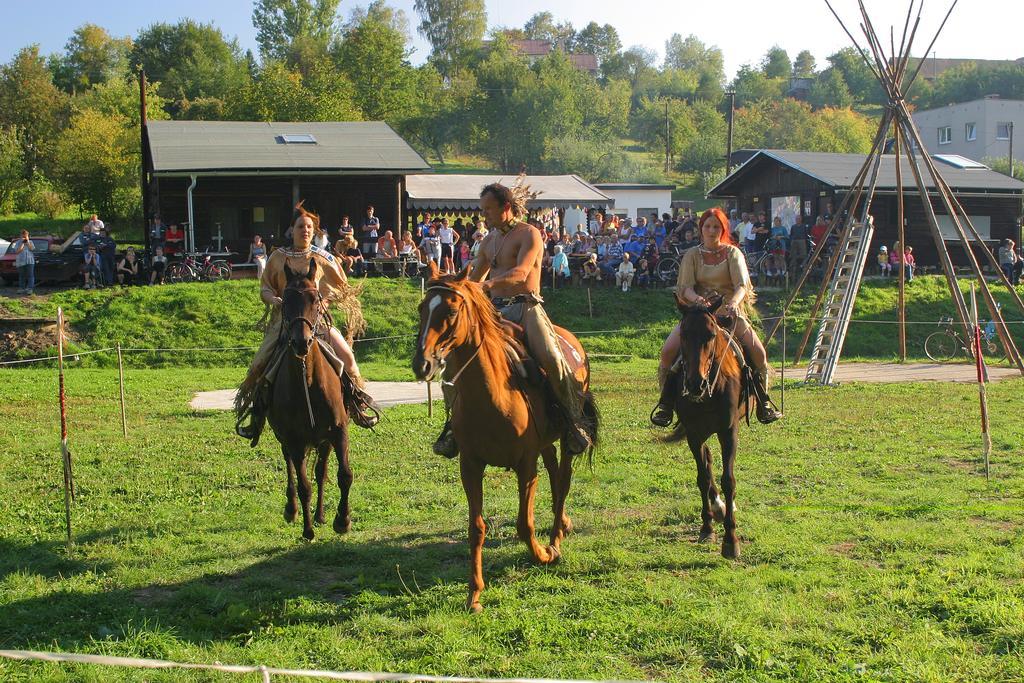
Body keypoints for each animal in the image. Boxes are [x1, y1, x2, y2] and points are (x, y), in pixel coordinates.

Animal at [266, 259, 354, 540]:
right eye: (285, 301)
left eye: (315, 299)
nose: (301, 342)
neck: (309, 380)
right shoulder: (294, 440)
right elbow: (304, 484)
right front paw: (307, 531)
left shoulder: (338, 431)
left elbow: (343, 475)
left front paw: (342, 520)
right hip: (286, 440)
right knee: (291, 469)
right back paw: (293, 510)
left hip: (323, 441)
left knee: (321, 470)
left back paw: (321, 514)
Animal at [409, 264, 598, 614]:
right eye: (422, 309)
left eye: (451, 311)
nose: (423, 364)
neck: (492, 396)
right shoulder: (470, 465)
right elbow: (476, 527)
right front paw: (474, 594)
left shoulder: (526, 465)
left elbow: (525, 523)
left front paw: (545, 554)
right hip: (545, 445)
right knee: (555, 475)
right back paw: (562, 524)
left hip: (565, 438)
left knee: (563, 480)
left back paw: (556, 537)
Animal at [663, 296, 753, 557]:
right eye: (683, 334)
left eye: (711, 335)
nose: (695, 384)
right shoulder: (694, 433)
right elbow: (703, 478)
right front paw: (707, 527)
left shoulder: (728, 431)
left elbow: (728, 480)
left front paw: (731, 540)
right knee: (708, 461)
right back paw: (718, 507)